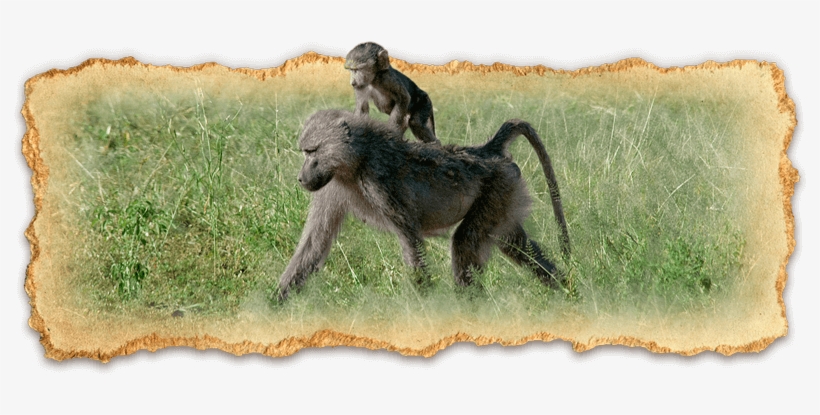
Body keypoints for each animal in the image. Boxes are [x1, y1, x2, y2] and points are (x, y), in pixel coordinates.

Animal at [277, 109, 570, 301]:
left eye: (311, 151)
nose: (301, 178)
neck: (357, 157)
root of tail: (489, 151)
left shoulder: (377, 180)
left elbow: (410, 239)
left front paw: (424, 305)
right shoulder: (330, 186)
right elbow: (315, 245)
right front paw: (275, 303)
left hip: (497, 191)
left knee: (465, 242)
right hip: (506, 197)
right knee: (516, 246)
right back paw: (566, 288)